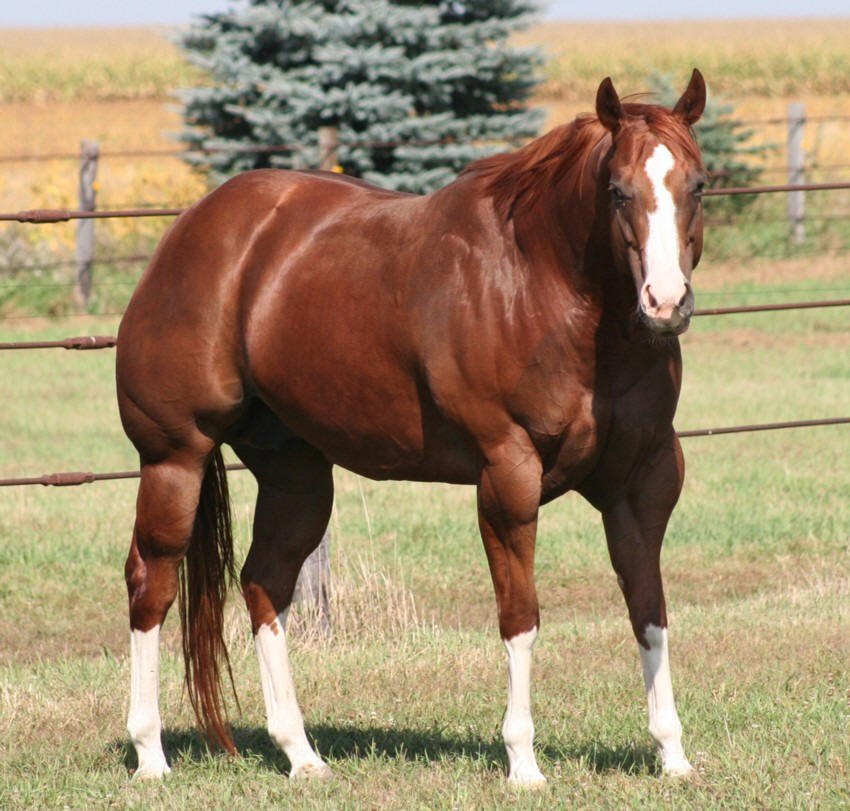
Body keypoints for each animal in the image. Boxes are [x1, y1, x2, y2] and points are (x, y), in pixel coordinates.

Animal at [116, 69, 707, 786]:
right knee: (151, 583)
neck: (545, 287)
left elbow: (649, 610)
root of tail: (191, 230)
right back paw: (150, 753)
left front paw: (673, 754)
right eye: (618, 190)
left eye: (697, 184)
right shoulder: (508, 478)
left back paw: (300, 752)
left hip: (297, 477)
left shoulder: (643, 483)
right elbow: (521, 617)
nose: (665, 304)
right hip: (174, 458)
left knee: (264, 584)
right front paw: (523, 761)